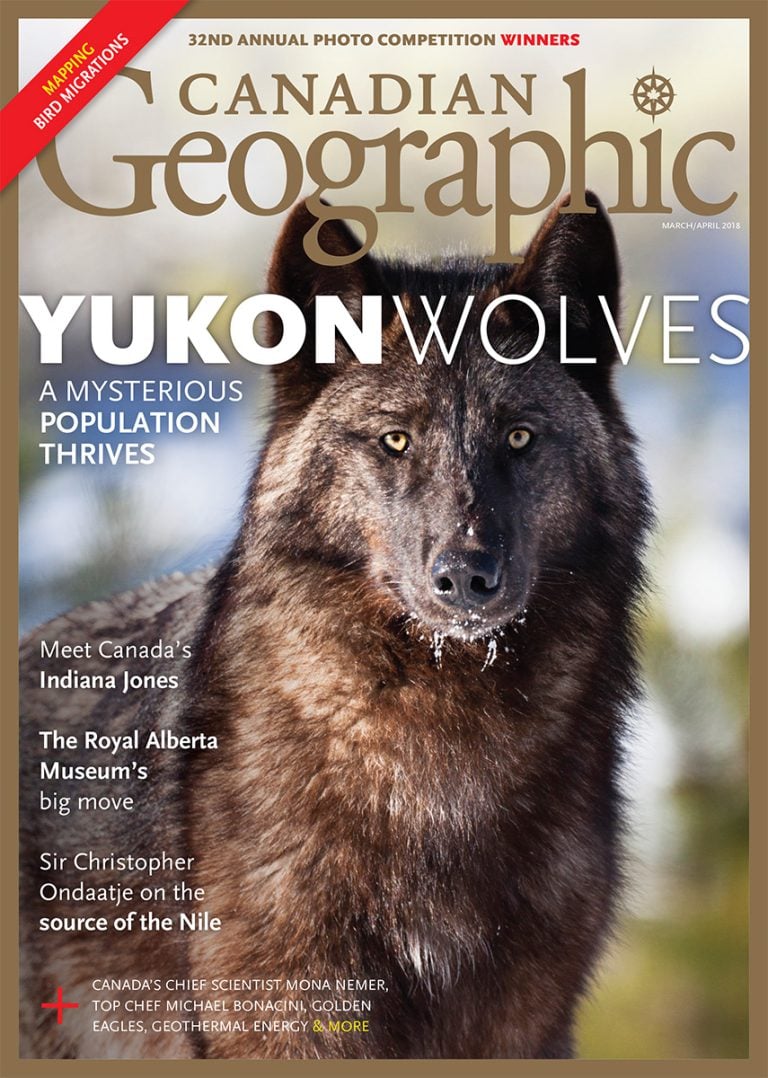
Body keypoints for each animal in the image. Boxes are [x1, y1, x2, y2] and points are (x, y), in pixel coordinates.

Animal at [20, 193, 651, 1060]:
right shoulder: (290, 1016)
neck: (438, 756)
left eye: (520, 436)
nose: (466, 576)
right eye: (396, 439)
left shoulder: (523, 1026)